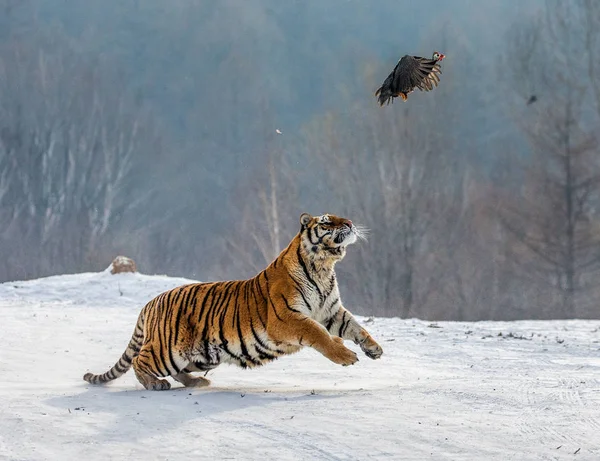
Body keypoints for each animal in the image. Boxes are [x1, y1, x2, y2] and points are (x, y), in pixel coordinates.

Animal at [83, 212, 384, 388]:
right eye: (326, 221)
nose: (350, 224)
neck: (324, 266)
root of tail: (152, 302)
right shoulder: (288, 317)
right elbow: (318, 333)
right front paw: (345, 355)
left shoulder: (331, 310)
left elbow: (356, 327)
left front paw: (374, 348)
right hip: (168, 350)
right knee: (139, 360)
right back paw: (154, 384)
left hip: (204, 356)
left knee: (175, 369)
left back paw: (195, 383)